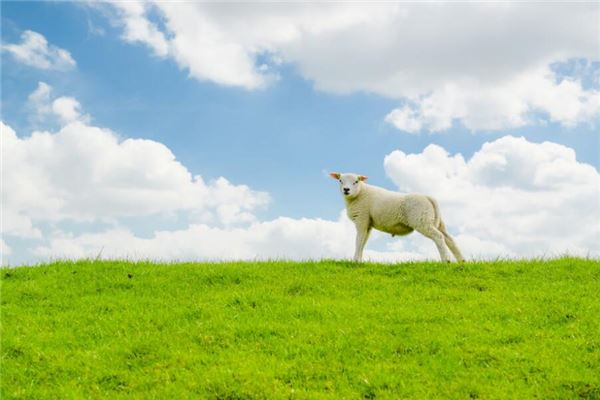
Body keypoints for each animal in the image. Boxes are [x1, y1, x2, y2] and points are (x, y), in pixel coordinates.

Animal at [328, 171, 464, 262]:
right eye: (340, 180)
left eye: (356, 181)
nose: (346, 189)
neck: (359, 194)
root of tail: (428, 197)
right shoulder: (368, 223)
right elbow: (363, 242)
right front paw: (359, 260)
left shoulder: (362, 219)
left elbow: (358, 241)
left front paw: (355, 261)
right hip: (436, 221)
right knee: (449, 239)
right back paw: (461, 261)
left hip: (422, 220)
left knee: (439, 237)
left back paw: (446, 260)